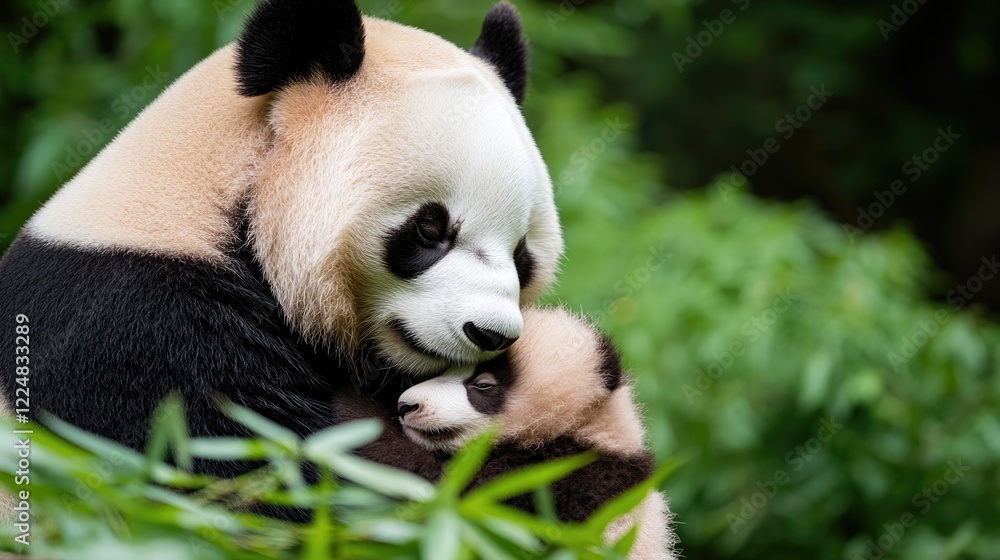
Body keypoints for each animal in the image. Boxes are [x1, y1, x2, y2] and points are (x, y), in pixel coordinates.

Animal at [349, 308, 678, 559]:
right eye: (442, 370)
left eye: (482, 385)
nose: (407, 405)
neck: (593, 426)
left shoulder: (557, 478)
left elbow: (440, 491)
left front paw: (353, 401)